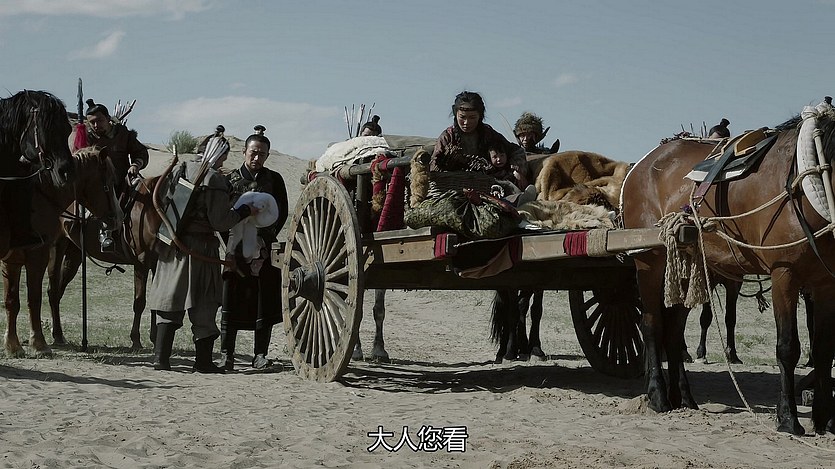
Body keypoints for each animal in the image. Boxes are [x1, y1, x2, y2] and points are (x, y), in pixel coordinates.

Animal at [2, 146, 123, 356]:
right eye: (108, 181)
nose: (118, 218)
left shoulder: (13, 261)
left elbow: (12, 301)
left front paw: (13, 345)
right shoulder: (36, 256)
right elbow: (34, 299)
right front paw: (39, 344)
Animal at [48, 174, 164, 349]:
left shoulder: (158, 264)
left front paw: (155, 338)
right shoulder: (142, 263)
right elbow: (139, 302)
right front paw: (136, 339)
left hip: (73, 254)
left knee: (58, 290)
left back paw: (58, 334)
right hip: (56, 247)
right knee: (53, 290)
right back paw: (58, 335)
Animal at [622, 101, 835, 435]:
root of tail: (642, 164)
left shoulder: (825, 284)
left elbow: (824, 349)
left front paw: (823, 417)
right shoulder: (785, 275)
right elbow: (788, 347)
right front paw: (788, 417)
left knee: (673, 331)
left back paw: (683, 396)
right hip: (649, 260)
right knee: (652, 324)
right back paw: (657, 395)